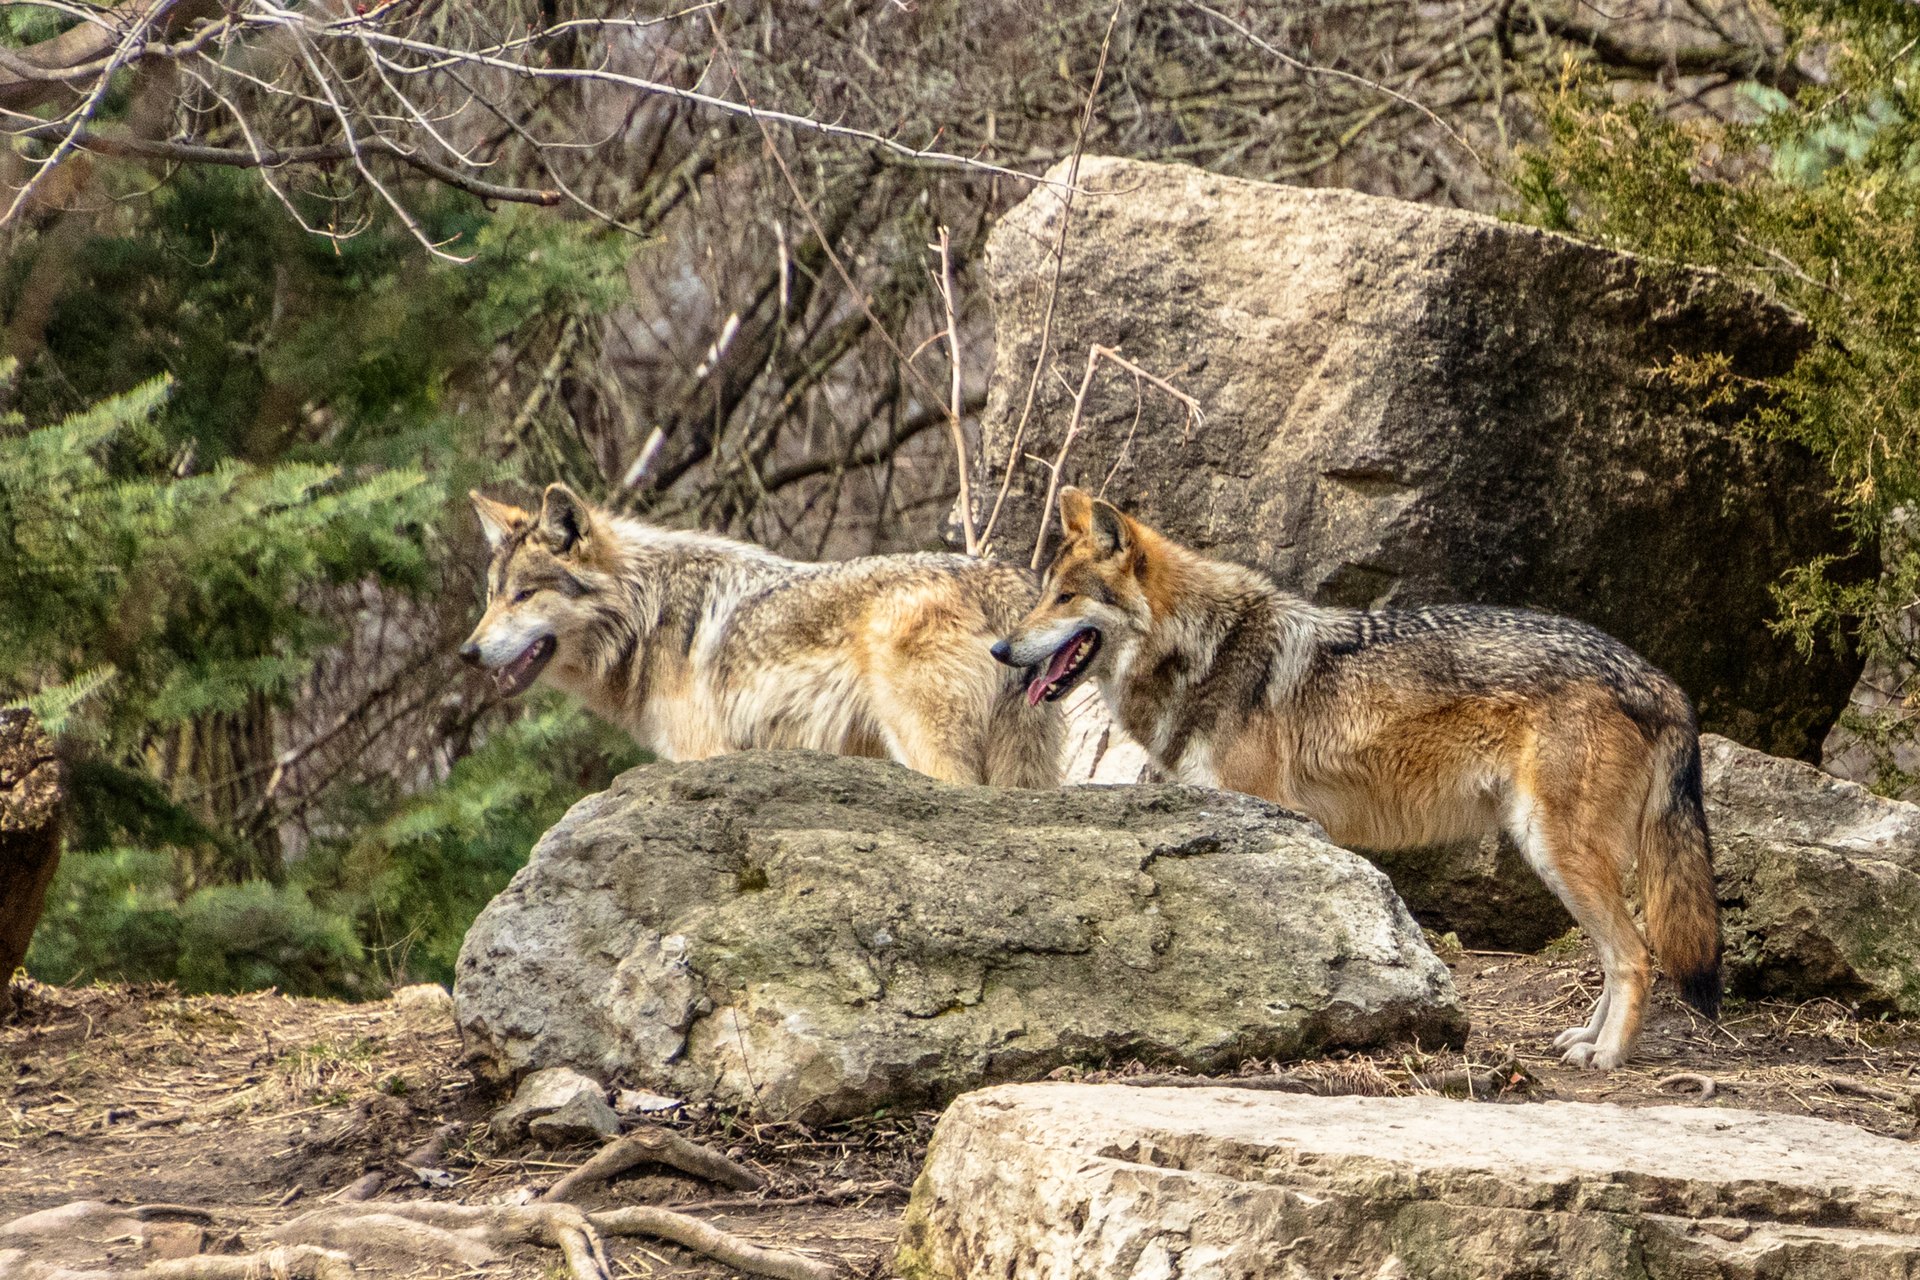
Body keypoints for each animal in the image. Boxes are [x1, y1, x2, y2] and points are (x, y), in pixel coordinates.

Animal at [461, 484, 1062, 788]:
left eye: (523, 595)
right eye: (491, 595)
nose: (467, 653)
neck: (646, 613)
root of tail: (1002, 576)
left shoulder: (702, 756)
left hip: (928, 751)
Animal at [993, 487, 1722, 1068]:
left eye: (1064, 598)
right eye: (1042, 596)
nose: (1001, 650)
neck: (1204, 651)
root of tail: (1660, 680)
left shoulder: (1271, 817)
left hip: (1556, 849)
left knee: (1636, 956)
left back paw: (1610, 1055)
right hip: (1555, 856)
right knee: (1618, 954)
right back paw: (1587, 1040)